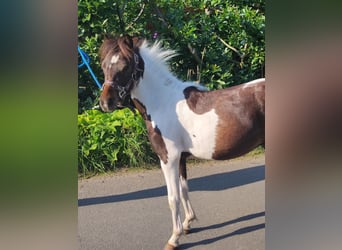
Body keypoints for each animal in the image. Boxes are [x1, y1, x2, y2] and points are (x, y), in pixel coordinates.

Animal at [98, 35, 264, 250]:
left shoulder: (168, 158)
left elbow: (173, 197)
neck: (162, 102)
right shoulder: (181, 159)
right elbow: (184, 190)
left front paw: (174, 238)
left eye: (125, 66)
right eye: (103, 65)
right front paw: (187, 224)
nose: (105, 102)